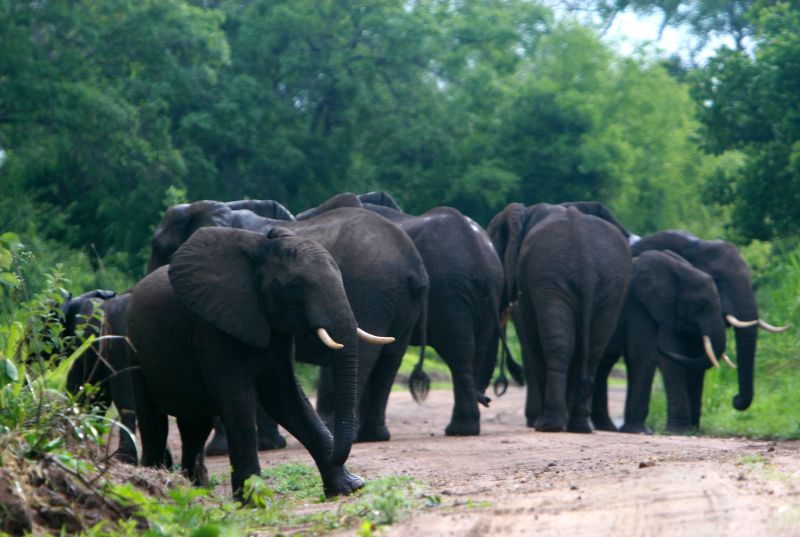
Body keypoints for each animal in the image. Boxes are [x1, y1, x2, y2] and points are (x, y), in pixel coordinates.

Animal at [127, 226, 367, 500]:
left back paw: (192, 490)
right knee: (154, 423)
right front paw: (253, 500)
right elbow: (238, 400)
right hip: (135, 353)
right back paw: (152, 482)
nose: (338, 455)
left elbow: (285, 399)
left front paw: (349, 488)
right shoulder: (213, 328)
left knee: (195, 427)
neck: (260, 251)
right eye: (296, 287)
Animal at [148, 200, 428, 444]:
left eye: (158, 248)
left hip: (374, 292)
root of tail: (413, 263)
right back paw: (372, 436)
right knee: (390, 359)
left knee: (370, 356)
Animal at [298, 191, 509, 436]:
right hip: (481, 291)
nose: (488, 399)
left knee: (458, 352)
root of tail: (481, 255)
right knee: (473, 351)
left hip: (448, 293)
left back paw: (459, 429)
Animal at [488, 202, 631, 432]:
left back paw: (548, 425)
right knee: (592, 350)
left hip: (551, 279)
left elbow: (529, 342)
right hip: (610, 285)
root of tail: (585, 258)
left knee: (556, 346)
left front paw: (534, 421)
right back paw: (579, 426)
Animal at [591, 250, 728, 433]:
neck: (678, 269)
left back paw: (608, 428)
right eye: (699, 305)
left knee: (603, 365)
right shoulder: (637, 303)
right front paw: (645, 431)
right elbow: (645, 355)